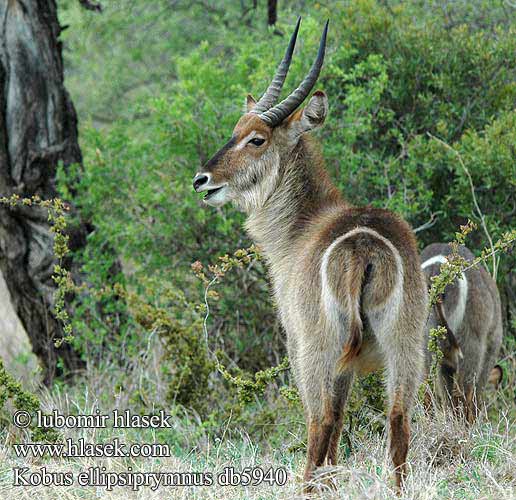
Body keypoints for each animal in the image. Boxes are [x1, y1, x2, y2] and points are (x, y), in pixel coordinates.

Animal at [194, 18, 428, 488]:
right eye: (234, 130)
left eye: (256, 139)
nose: (201, 179)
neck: (303, 224)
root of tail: (363, 244)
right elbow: (341, 421)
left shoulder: (295, 339)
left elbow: (325, 421)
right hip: (406, 342)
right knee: (398, 420)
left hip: (316, 346)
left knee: (318, 420)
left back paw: (304, 485)